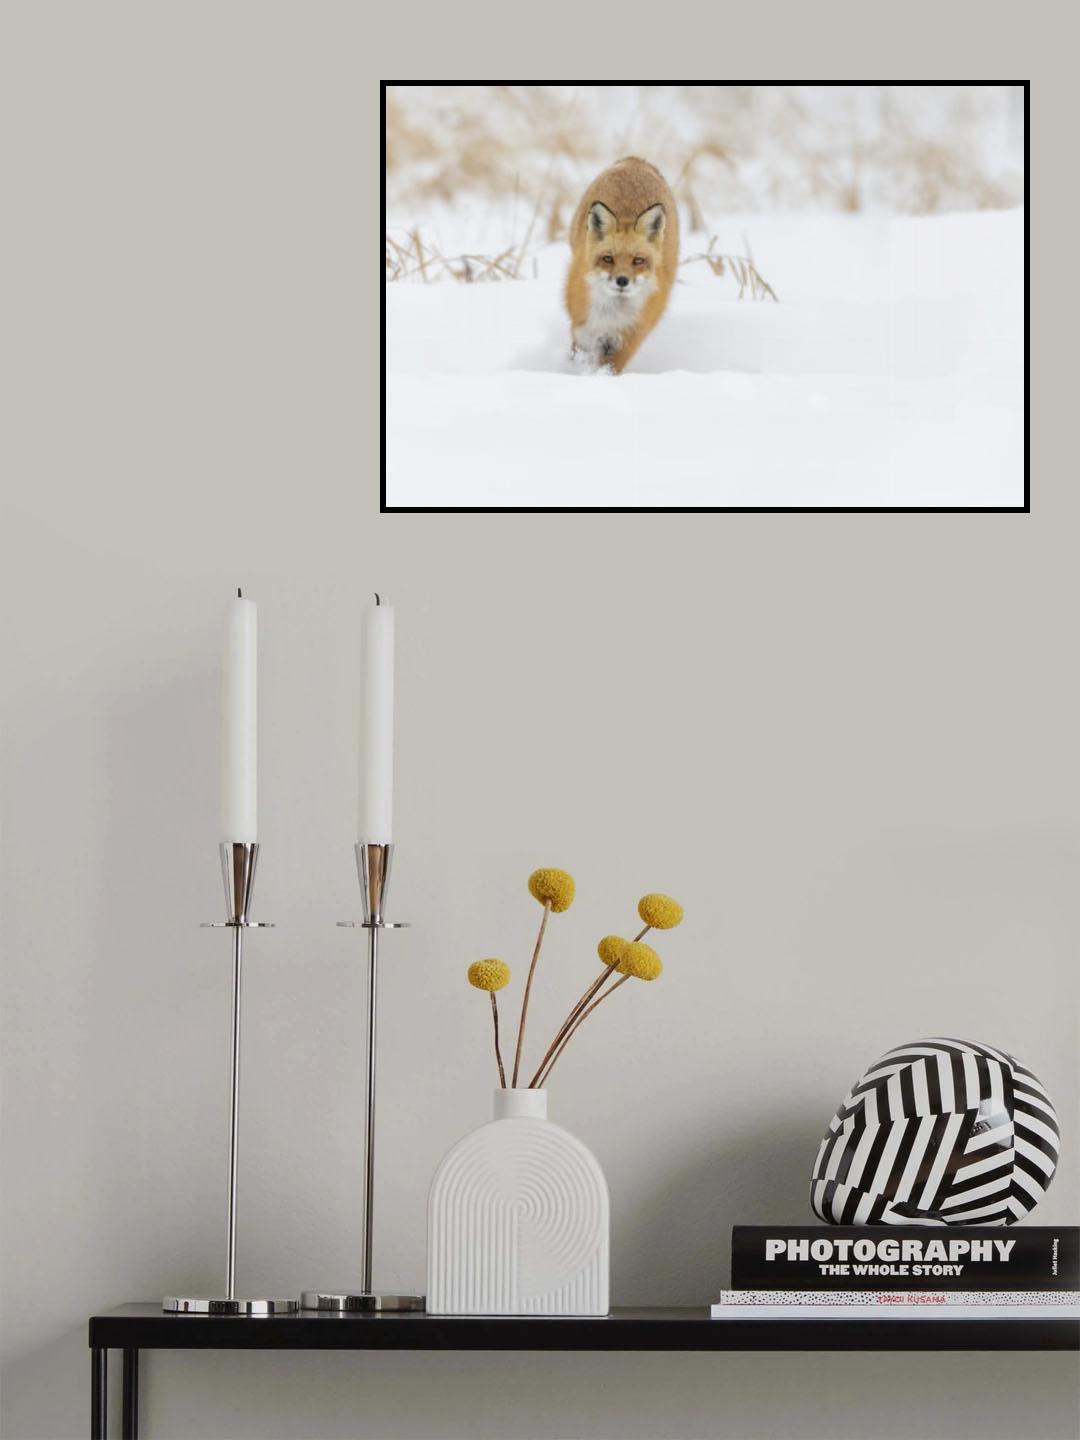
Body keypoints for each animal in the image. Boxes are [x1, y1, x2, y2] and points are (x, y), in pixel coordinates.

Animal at [564, 156, 679, 374]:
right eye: (608, 259)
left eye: (638, 261)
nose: (622, 281)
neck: (612, 314)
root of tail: (636, 160)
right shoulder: (582, 328)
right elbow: (579, 355)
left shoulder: (627, 339)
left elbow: (610, 368)